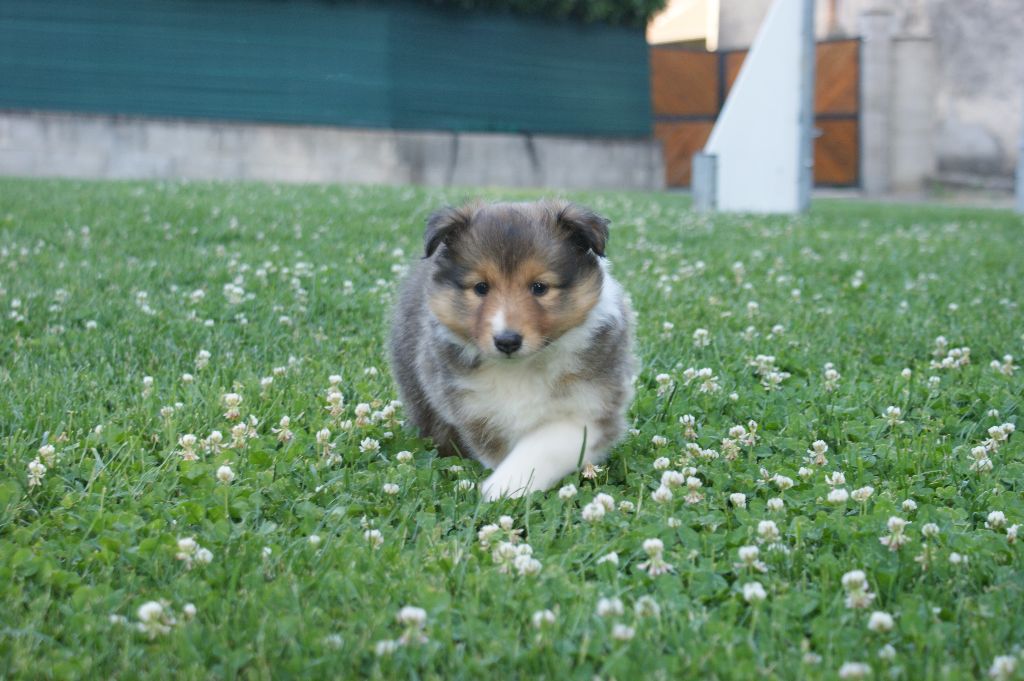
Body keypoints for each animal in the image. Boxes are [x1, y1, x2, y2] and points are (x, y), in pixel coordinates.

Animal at [388, 200, 636, 500]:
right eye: (481, 287)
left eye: (539, 287)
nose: (507, 341)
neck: (521, 369)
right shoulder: (477, 411)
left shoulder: (589, 406)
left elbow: (542, 447)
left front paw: (503, 487)